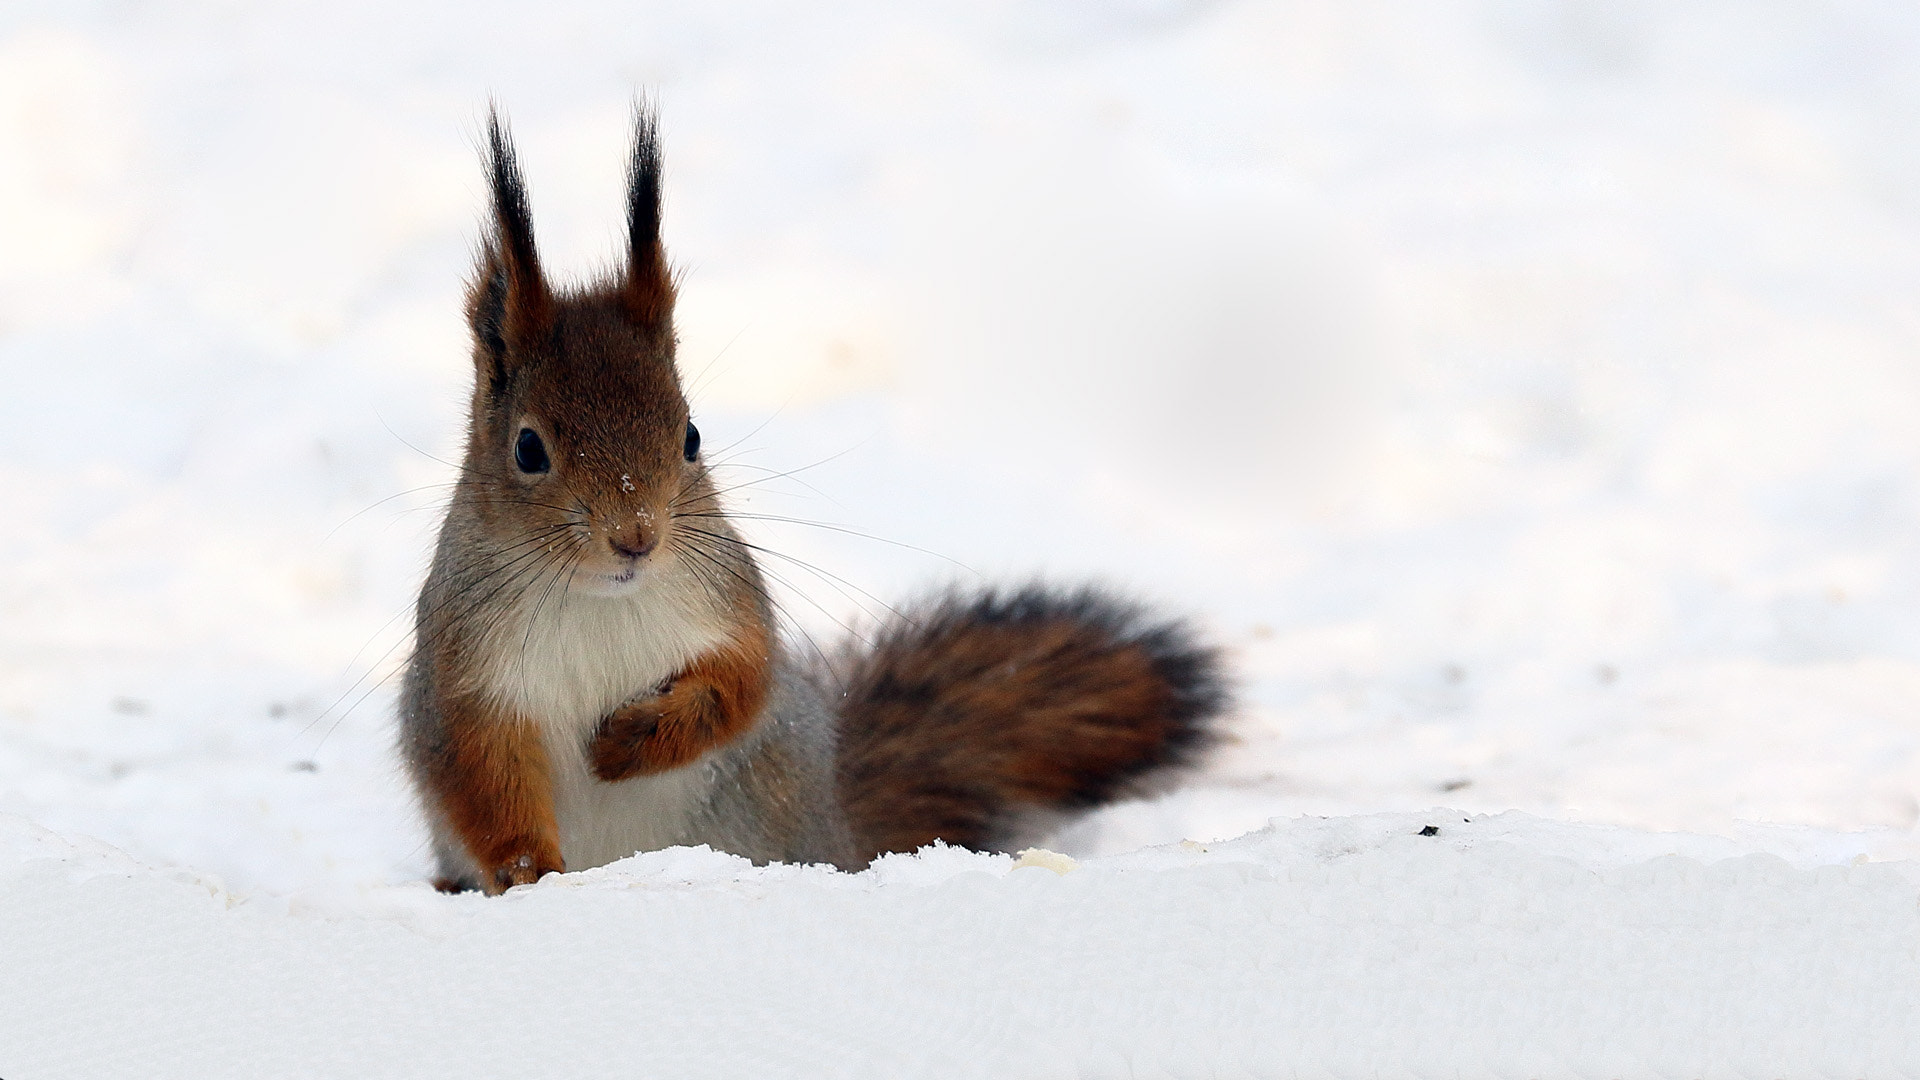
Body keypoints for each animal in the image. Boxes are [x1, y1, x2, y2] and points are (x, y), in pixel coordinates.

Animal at [399, 107, 1230, 894]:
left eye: (691, 435)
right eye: (528, 450)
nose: (636, 537)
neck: (601, 597)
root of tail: (841, 827)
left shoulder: (730, 601)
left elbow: (742, 683)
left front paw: (634, 741)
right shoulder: (463, 675)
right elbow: (478, 774)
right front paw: (527, 870)